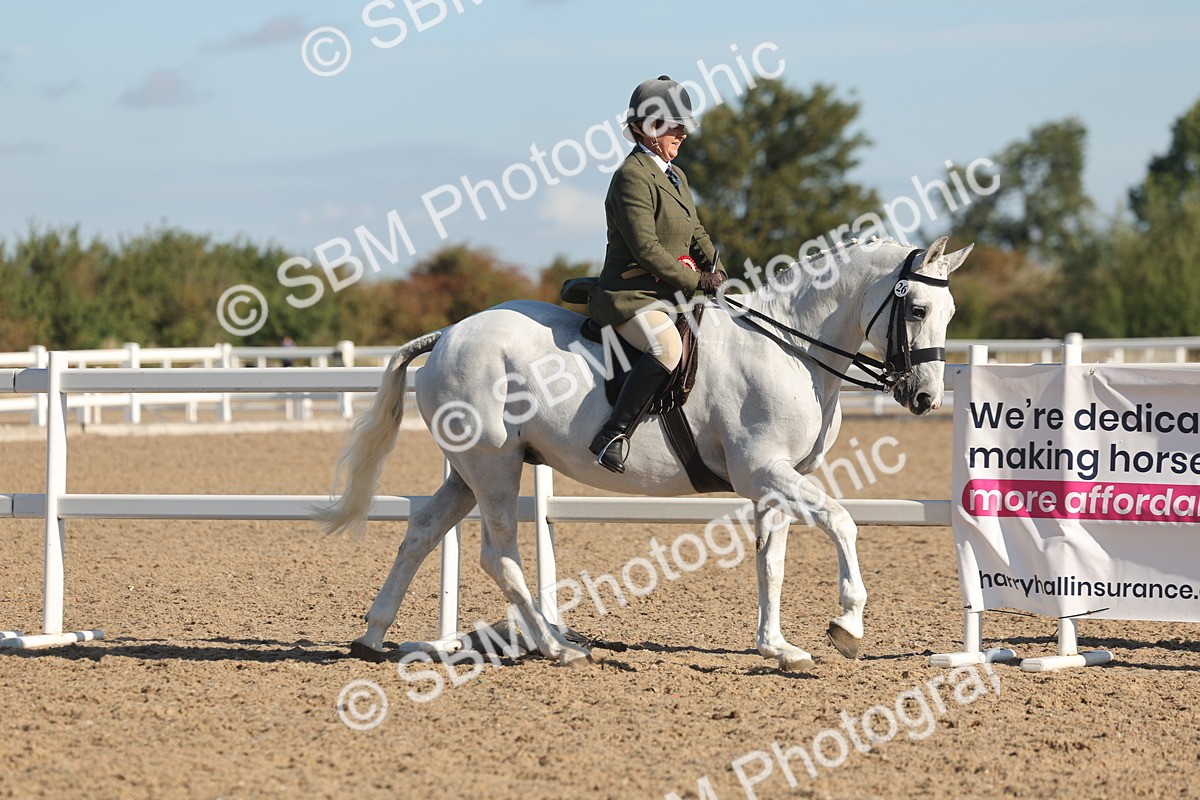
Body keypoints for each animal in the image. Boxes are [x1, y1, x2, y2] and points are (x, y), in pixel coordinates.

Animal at [318, 235, 971, 670]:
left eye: (951, 313)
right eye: (916, 309)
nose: (924, 397)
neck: (789, 346)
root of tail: (449, 334)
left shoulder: (775, 480)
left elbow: (773, 561)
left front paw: (777, 647)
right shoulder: (766, 472)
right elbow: (842, 522)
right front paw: (848, 624)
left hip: (470, 472)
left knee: (422, 530)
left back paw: (373, 637)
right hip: (495, 468)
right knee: (498, 556)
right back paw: (556, 646)